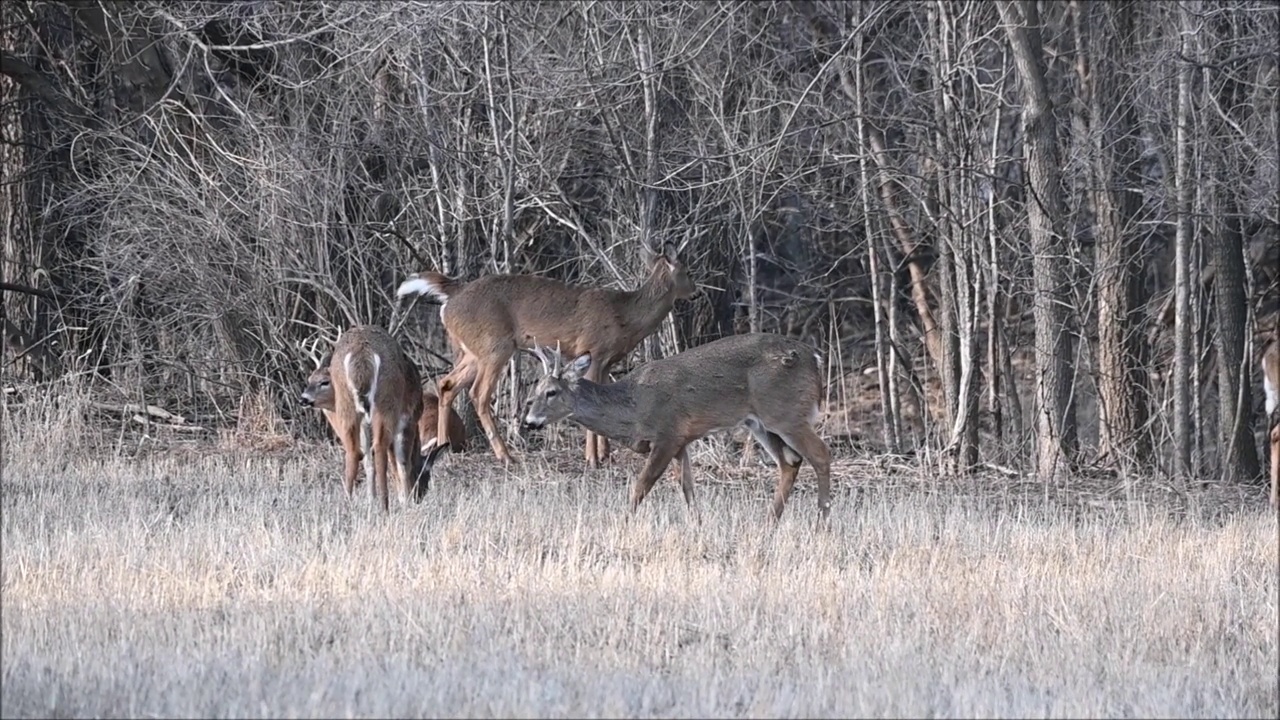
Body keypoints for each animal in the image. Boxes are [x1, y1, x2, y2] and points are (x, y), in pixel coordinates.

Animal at [296, 325, 448, 509]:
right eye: (426, 473)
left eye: (324, 381)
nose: (303, 399)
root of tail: (361, 353)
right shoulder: (408, 419)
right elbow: (402, 463)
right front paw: (405, 501)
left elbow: (370, 462)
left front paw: (371, 500)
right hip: (385, 402)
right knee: (380, 449)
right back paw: (384, 506)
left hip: (349, 406)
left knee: (354, 452)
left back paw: (348, 503)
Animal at [399, 240, 701, 466]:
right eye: (687, 271)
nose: (696, 294)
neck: (625, 316)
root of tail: (451, 299)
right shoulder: (593, 349)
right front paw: (592, 459)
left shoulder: (606, 362)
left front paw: (606, 454)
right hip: (495, 346)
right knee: (478, 393)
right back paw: (506, 456)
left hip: (473, 351)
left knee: (447, 384)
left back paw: (444, 447)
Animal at [517, 330, 829, 520]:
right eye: (534, 392)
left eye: (551, 392)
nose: (530, 422)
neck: (633, 406)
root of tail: (815, 358)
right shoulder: (682, 441)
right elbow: (688, 489)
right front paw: (698, 526)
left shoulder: (668, 434)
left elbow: (641, 486)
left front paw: (624, 522)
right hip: (760, 422)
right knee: (790, 461)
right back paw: (768, 522)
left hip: (786, 413)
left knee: (821, 454)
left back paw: (821, 521)